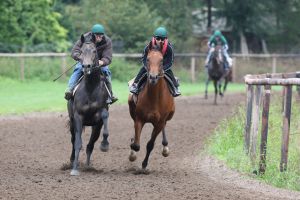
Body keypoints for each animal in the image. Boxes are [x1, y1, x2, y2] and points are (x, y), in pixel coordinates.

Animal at [67, 35, 109, 176]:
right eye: (81, 51)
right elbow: (78, 143)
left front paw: (104, 145)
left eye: (95, 51)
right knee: (73, 140)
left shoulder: (99, 119)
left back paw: (87, 165)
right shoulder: (78, 117)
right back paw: (72, 161)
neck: (90, 88)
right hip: (72, 122)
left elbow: (104, 117)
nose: (86, 66)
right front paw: (75, 168)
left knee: (90, 144)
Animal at [127, 41, 175, 171]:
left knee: (164, 126)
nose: (153, 77)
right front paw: (132, 153)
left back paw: (165, 147)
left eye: (161, 60)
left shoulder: (159, 122)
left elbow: (150, 144)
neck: (154, 98)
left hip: (169, 116)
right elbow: (136, 145)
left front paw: (144, 165)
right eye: (148, 59)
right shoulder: (139, 119)